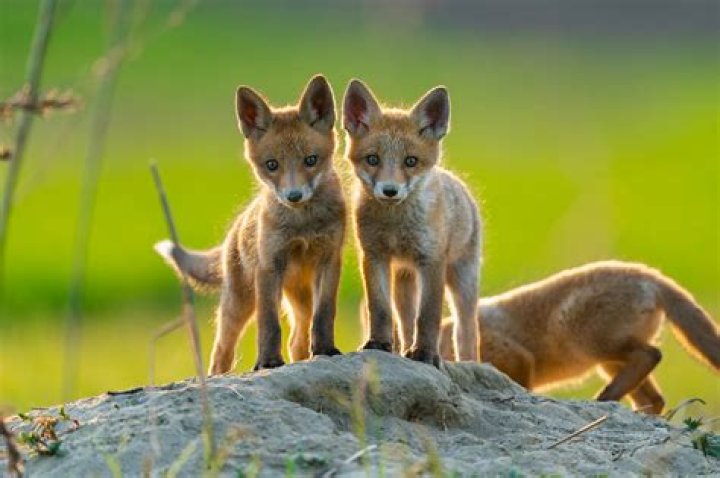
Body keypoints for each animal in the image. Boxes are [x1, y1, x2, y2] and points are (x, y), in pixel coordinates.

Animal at [155, 75, 346, 373]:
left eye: (311, 160)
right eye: (272, 165)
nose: (293, 196)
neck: (302, 225)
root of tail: (235, 229)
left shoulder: (329, 260)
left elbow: (324, 315)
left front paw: (326, 350)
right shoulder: (269, 266)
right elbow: (269, 325)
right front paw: (268, 362)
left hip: (299, 299)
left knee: (297, 339)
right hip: (239, 303)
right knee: (222, 351)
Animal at [342, 79, 482, 366]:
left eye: (411, 161)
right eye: (372, 159)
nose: (390, 191)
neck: (395, 225)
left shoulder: (432, 260)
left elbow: (428, 316)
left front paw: (425, 354)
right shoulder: (374, 255)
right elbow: (380, 309)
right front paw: (380, 344)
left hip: (462, 280)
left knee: (467, 331)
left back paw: (468, 362)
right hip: (404, 280)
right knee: (405, 322)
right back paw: (404, 349)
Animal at [438, 260, 720, 414]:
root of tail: (649, 275)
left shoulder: (517, 357)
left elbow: (521, 387)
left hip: (587, 341)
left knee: (651, 355)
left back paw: (603, 400)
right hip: (608, 362)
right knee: (654, 397)